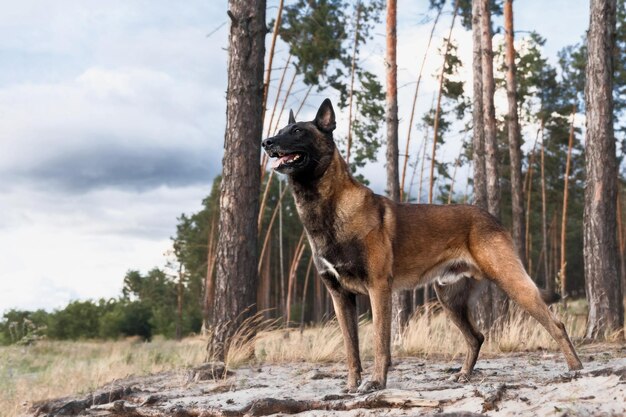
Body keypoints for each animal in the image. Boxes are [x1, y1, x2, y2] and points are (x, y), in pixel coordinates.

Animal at [260, 99, 584, 392]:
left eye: (298, 131)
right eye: (281, 130)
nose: (266, 142)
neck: (327, 208)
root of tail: (490, 216)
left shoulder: (379, 289)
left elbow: (380, 342)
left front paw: (375, 383)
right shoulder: (340, 297)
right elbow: (351, 349)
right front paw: (351, 386)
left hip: (511, 282)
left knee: (556, 325)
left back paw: (575, 369)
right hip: (450, 299)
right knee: (476, 337)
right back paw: (463, 375)